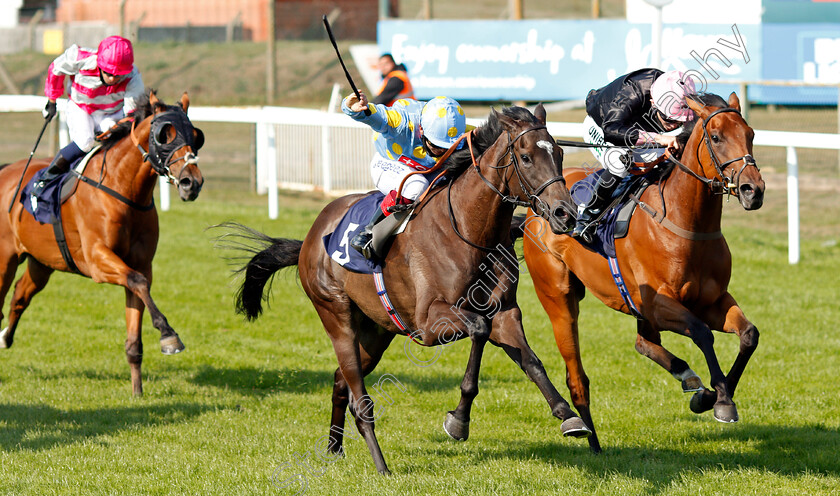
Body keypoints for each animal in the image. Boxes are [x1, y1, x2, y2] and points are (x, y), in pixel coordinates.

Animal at [0, 91, 203, 398]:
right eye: (164, 135)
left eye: (195, 134)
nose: (192, 183)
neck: (124, 190)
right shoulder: (97, 260)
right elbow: (137, 281)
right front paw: (169, 336)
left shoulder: (141, 264)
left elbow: (138, 302)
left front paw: (137, 392)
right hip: (5, 259)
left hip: (42, 262)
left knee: (20, 296)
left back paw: (5, 337)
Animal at [226, 104, 588, 472]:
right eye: (526, 157)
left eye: (559, 154)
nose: (566, 214)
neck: (469, 231)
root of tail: (310, 239)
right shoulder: (430, 323)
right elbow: (479, 328)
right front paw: (458, 420)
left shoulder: (505, 312)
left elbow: (531, 360)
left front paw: (568, 415)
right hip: (336, 316)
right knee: (361, 399)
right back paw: (381, 466)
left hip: (376, 332)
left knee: (341, 381)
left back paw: (334, 448)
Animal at [516, 93, 764, 454]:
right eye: (716, 137)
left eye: (751, 134)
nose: (752, 190)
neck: (687, 223)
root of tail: (536, 208)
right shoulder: (660, 305)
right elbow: (702, 332)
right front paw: (720, 401)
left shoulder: (712, 301)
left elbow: (748, 335)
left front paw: (712, 396)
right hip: (559, 298)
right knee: (577, 373)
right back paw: (592, 440)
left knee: (643, 342)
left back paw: (688, 378)